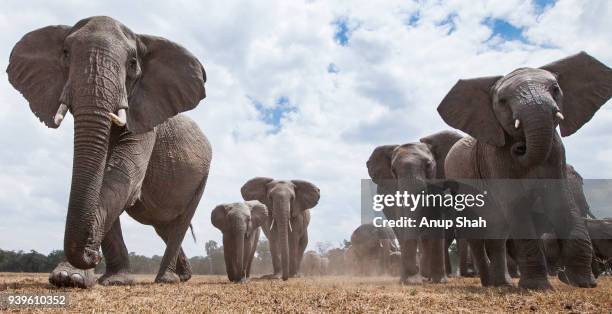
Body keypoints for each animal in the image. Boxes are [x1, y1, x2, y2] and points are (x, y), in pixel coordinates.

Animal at [5, 16, 213, 288]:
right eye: (65, 53)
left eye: (133, 62)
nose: (93, 255)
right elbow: (102, 179)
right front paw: (86, 278)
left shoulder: (145, 120)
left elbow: (122, 179)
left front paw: (74, 277)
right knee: (164, 227)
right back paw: (183, 276)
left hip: (203, 177)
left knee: (178, 225)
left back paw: (167, 280)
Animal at [438, 51, 608, 290]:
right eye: (502, 101)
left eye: (556, 89)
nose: (520, 146)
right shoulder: (495, 158)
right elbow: (516, 205)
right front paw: (537, 286)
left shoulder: (556, 151)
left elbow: (561, 200)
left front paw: (583, 283)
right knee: (479, 233)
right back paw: (490, 283)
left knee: (498, 231)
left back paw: (503, 284)